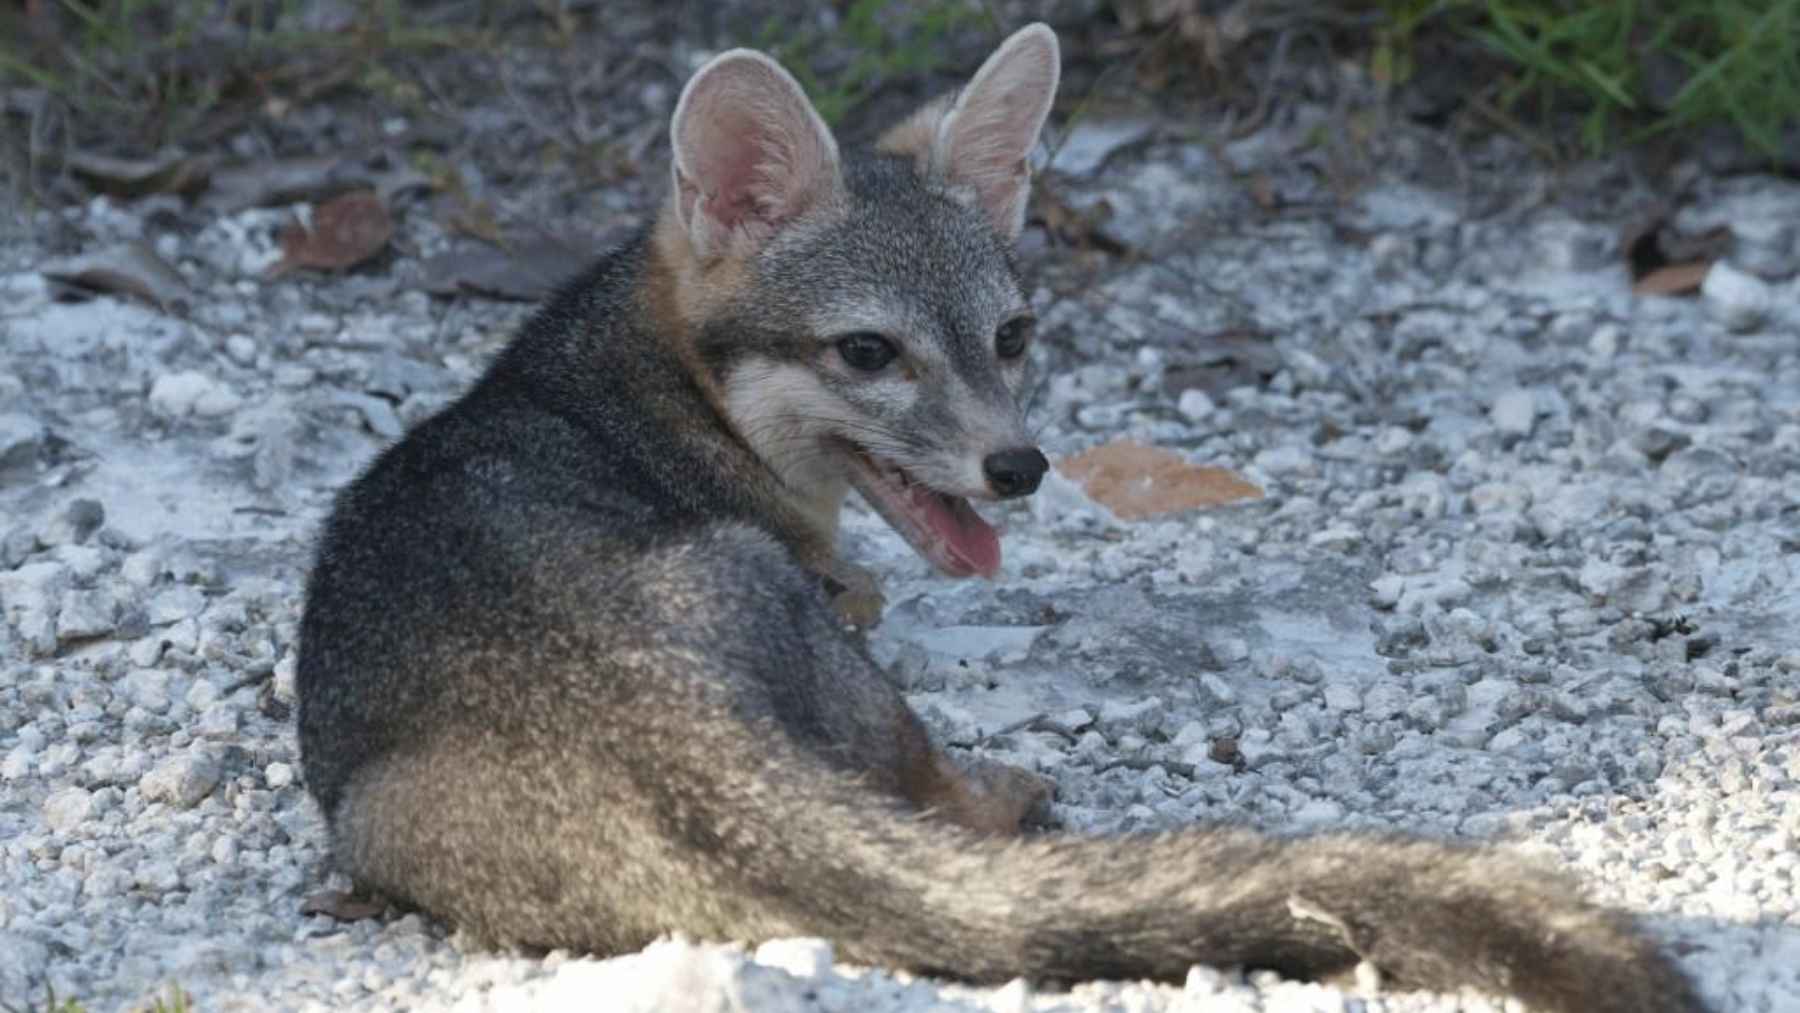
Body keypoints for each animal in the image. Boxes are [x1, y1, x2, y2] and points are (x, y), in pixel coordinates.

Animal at [295, 23, 1709, 1013]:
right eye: (869, 352)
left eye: (1014, 335)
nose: (1020, 466)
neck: (635, 385)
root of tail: (663, 726)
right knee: (933, 791)